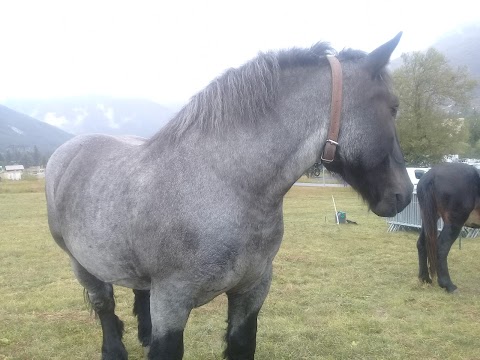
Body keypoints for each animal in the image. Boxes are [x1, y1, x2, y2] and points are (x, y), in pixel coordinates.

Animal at [46, 32, 412, 358]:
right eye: (393, 107)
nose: (405, 194)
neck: (226, 186)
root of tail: (67, 152)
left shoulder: (251, 292)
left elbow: (240, 345)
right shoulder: (171, 301)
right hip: (83, 265)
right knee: (104, 307)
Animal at [416, 163, 480, 292]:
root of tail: (431, 174)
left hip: (429, 217)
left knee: (422, 243)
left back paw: (425, 278)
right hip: (454, 222)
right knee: (442, 247)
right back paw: (448, 285)